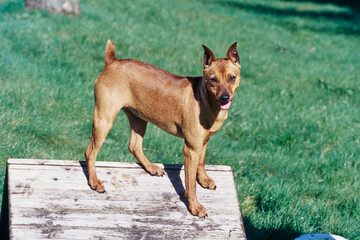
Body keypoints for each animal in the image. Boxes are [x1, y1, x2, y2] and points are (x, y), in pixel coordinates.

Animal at [84, 40, 242, 218]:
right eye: (213, 80)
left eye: (232, 77)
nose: (225, 98)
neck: (205, 99)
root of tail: (112, 61)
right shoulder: (191, 149)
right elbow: (190, 184)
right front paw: (195, 207)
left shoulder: (203, 142)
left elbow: (202, 162)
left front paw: (204, 180)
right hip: (104, 120)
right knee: (90, 153)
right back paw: (94, 182)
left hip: (139, 119)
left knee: (134, 146)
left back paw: (151, 168)